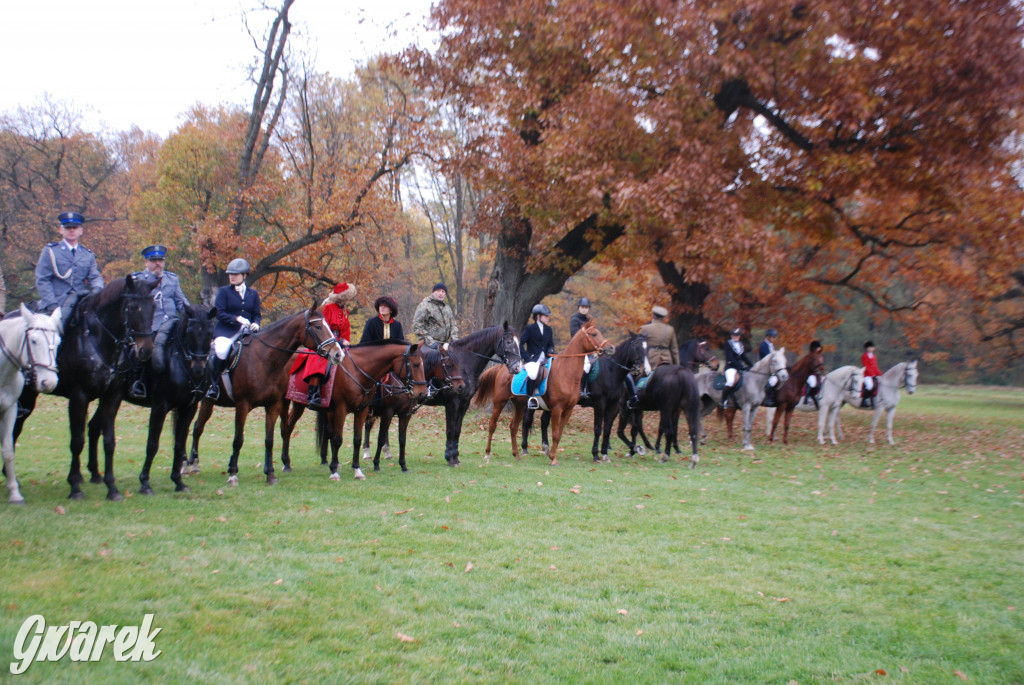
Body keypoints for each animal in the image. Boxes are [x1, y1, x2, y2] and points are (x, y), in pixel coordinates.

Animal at [0, 305, 61, 501]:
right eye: (33, 341)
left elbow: (8, 451)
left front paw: (14, 493)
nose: (49, 382)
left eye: (58, 342)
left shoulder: (10, 411)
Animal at [13, 274, 157, 499]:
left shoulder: (111, 397)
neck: (96, 338)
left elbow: (109, 441)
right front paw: (75, 487)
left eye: (154, 306)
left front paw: (112, 488)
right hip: (26, 397)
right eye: (133, 307)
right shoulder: (79, 397)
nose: (145, 350)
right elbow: (77, 441)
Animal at [91, 303, 215, 491]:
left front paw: (178, 482)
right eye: (189, 331)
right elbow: (152, 444)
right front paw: (145, 482)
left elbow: (179, 445)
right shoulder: (160, 407)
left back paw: (94, 475)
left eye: (210, 332)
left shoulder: (188, 408)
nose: (198, 369)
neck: (178, 361)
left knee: (93, 427)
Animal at [191, 309, 348, 485]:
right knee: (197, 428)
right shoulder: (242, 405)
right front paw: (232, 475)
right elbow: (238, 440)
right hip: (207, 400)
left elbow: (269, 440)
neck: (264, 358)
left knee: (197, 427)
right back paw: (191, 465)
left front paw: (270, 474)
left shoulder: (273, 405)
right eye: (318, 326)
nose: (338, 354)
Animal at [475, 321, 610, 464]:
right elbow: (555, 434)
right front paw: (553, 459)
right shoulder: (557, 409)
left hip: (520, 405)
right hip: (500, 401)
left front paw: (552, 455)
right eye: (594, 334)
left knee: (513, 427)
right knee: (492, 425)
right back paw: (488, 453)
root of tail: (502, 367)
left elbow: (559, 434)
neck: (567, 373)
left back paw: (516, 455)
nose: (611, 348)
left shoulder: (568, 410)